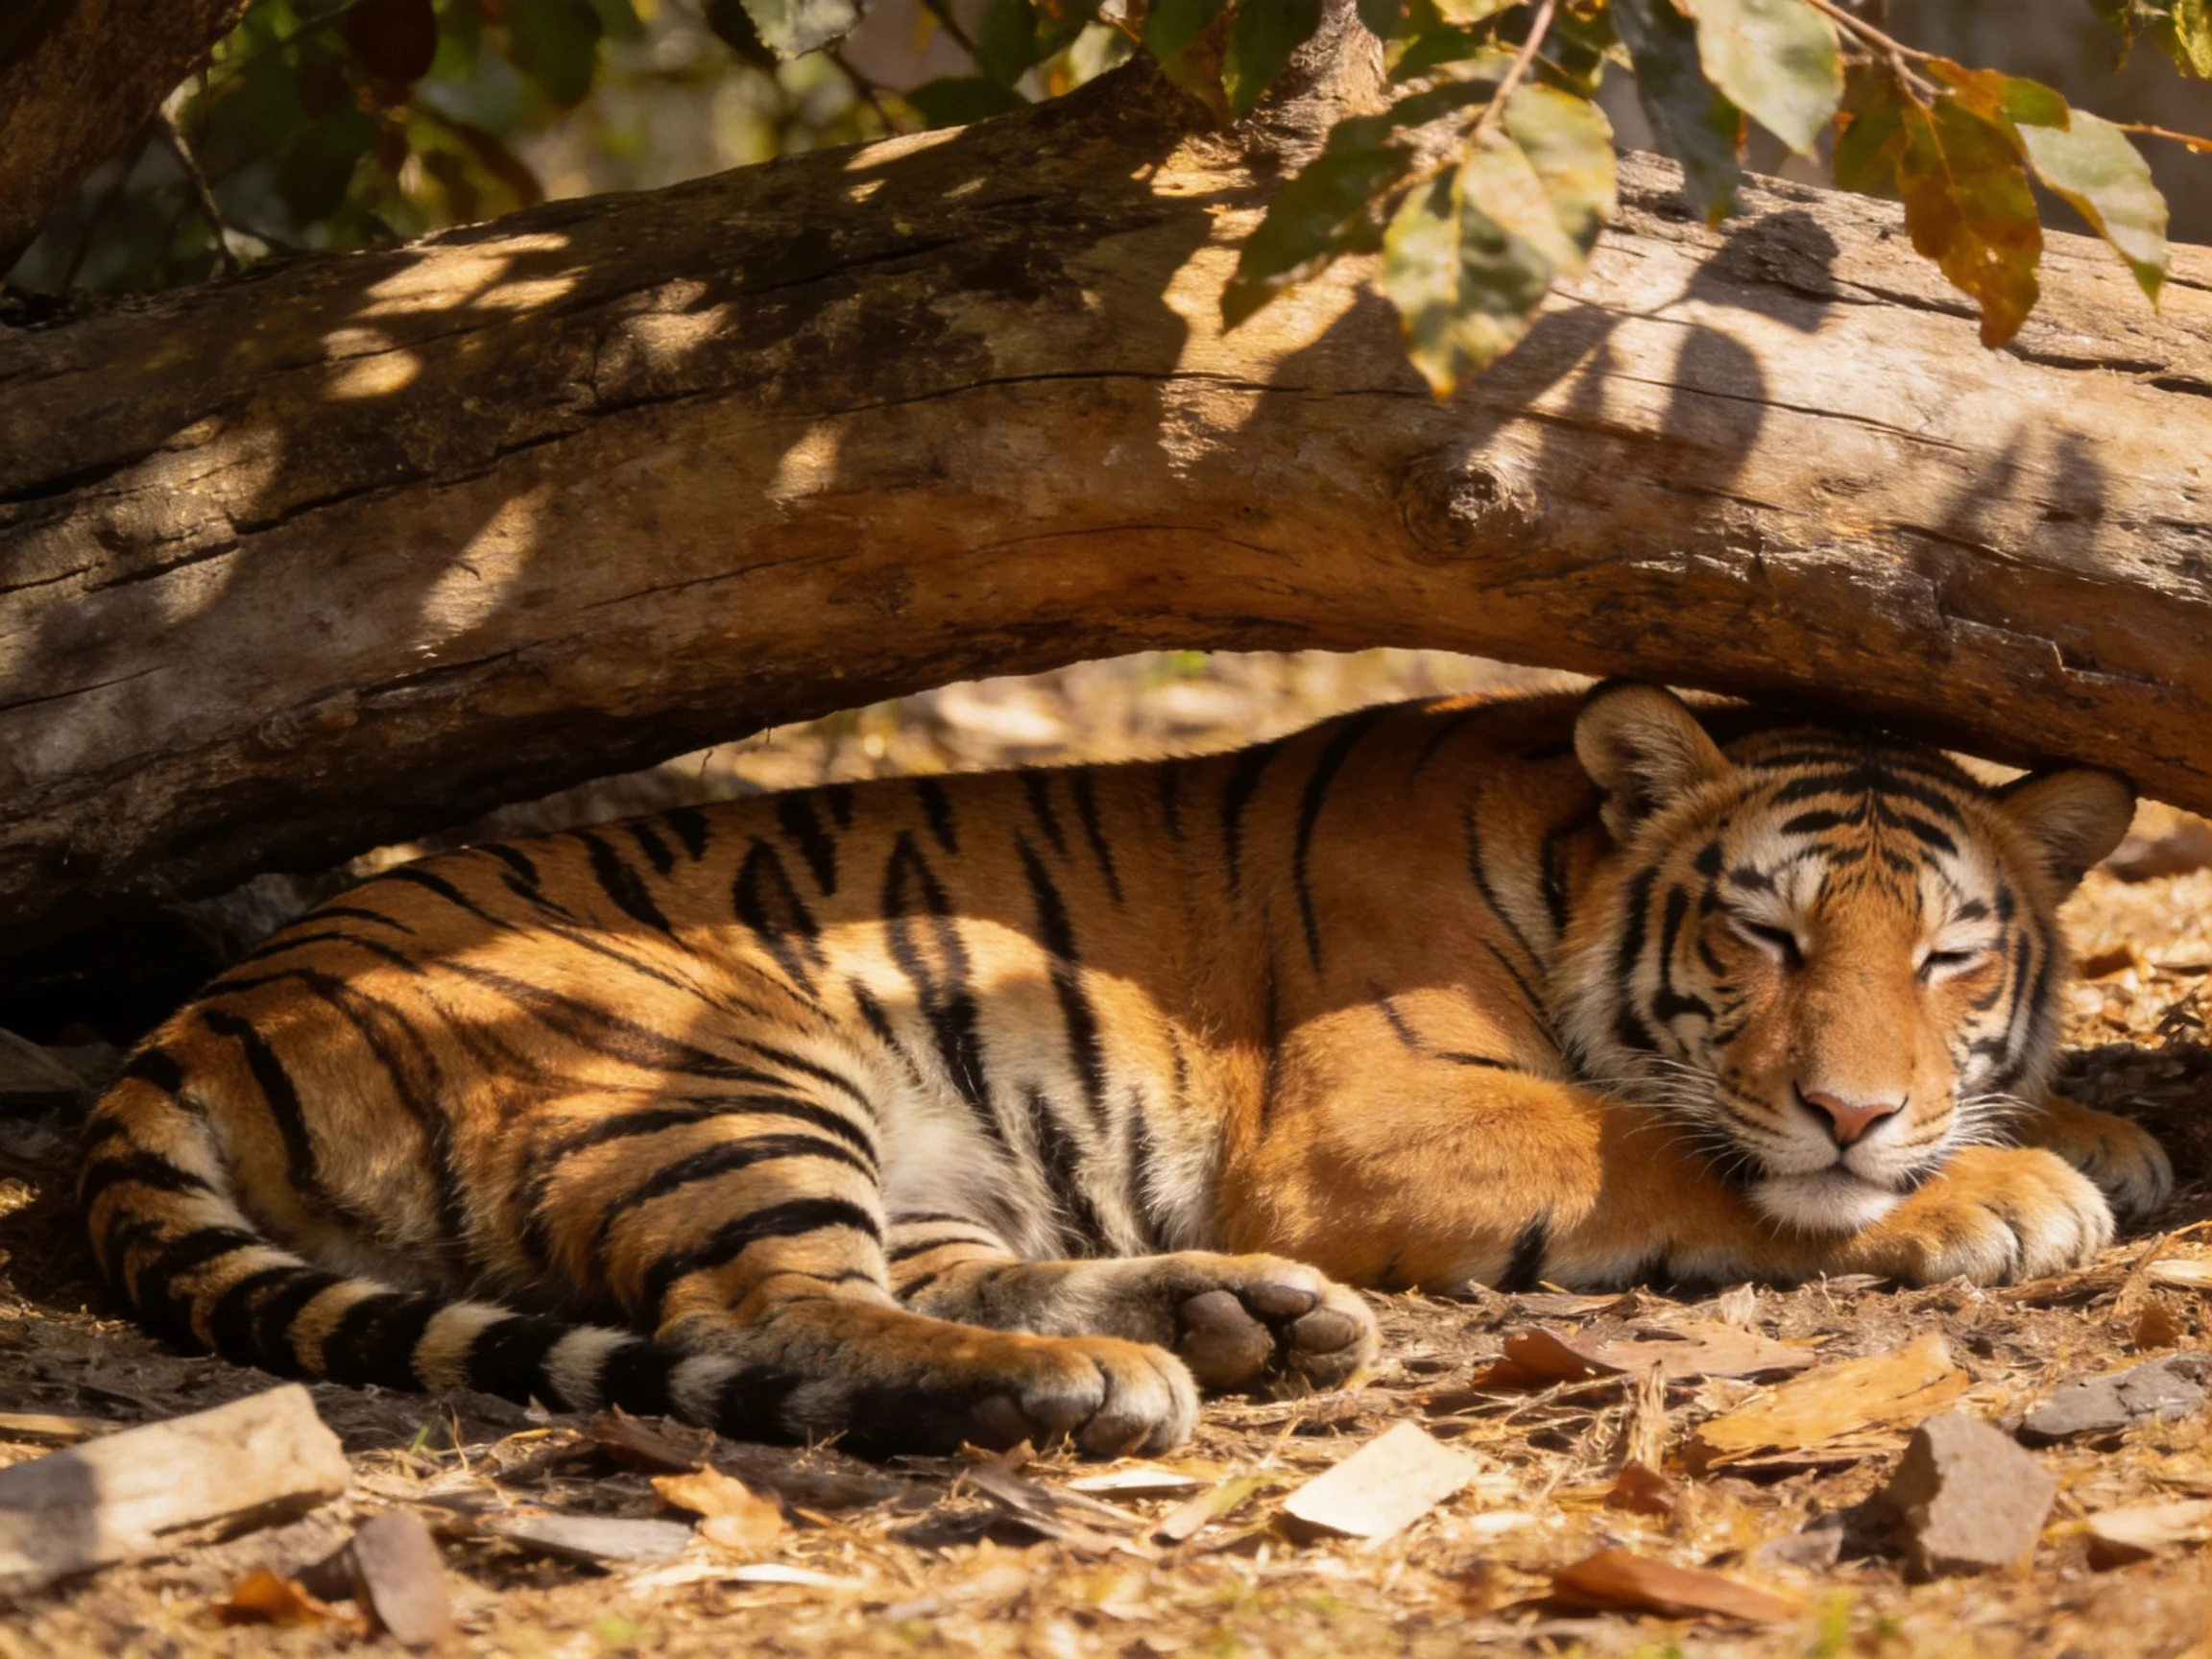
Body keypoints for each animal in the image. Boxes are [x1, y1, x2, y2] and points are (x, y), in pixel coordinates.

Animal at [79, 681, 2173, 1458]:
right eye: (1762, 937)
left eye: (1949, 951)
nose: (1858, 1104)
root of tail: (211, 1006)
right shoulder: (1385, 1110)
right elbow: (1675, 1151)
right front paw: (1997, 1185)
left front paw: (2086, 1128)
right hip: (711, 1066)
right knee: (761, 1315)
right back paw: (1109, 1381)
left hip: (901, 1145)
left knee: (922, 1276)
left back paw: (1235, 1320)